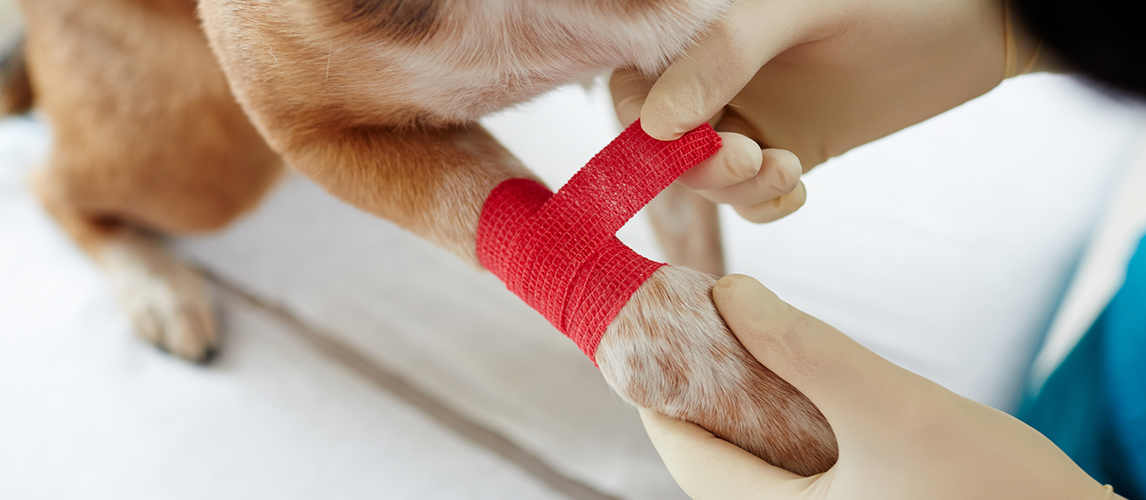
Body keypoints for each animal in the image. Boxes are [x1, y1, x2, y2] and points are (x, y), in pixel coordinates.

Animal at [4, 0, 838, 477]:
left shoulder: (684, 61)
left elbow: (691, 217)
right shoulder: (293, 119)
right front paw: (785, 411)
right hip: (206, 146)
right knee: (48, 181)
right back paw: (153, 283)